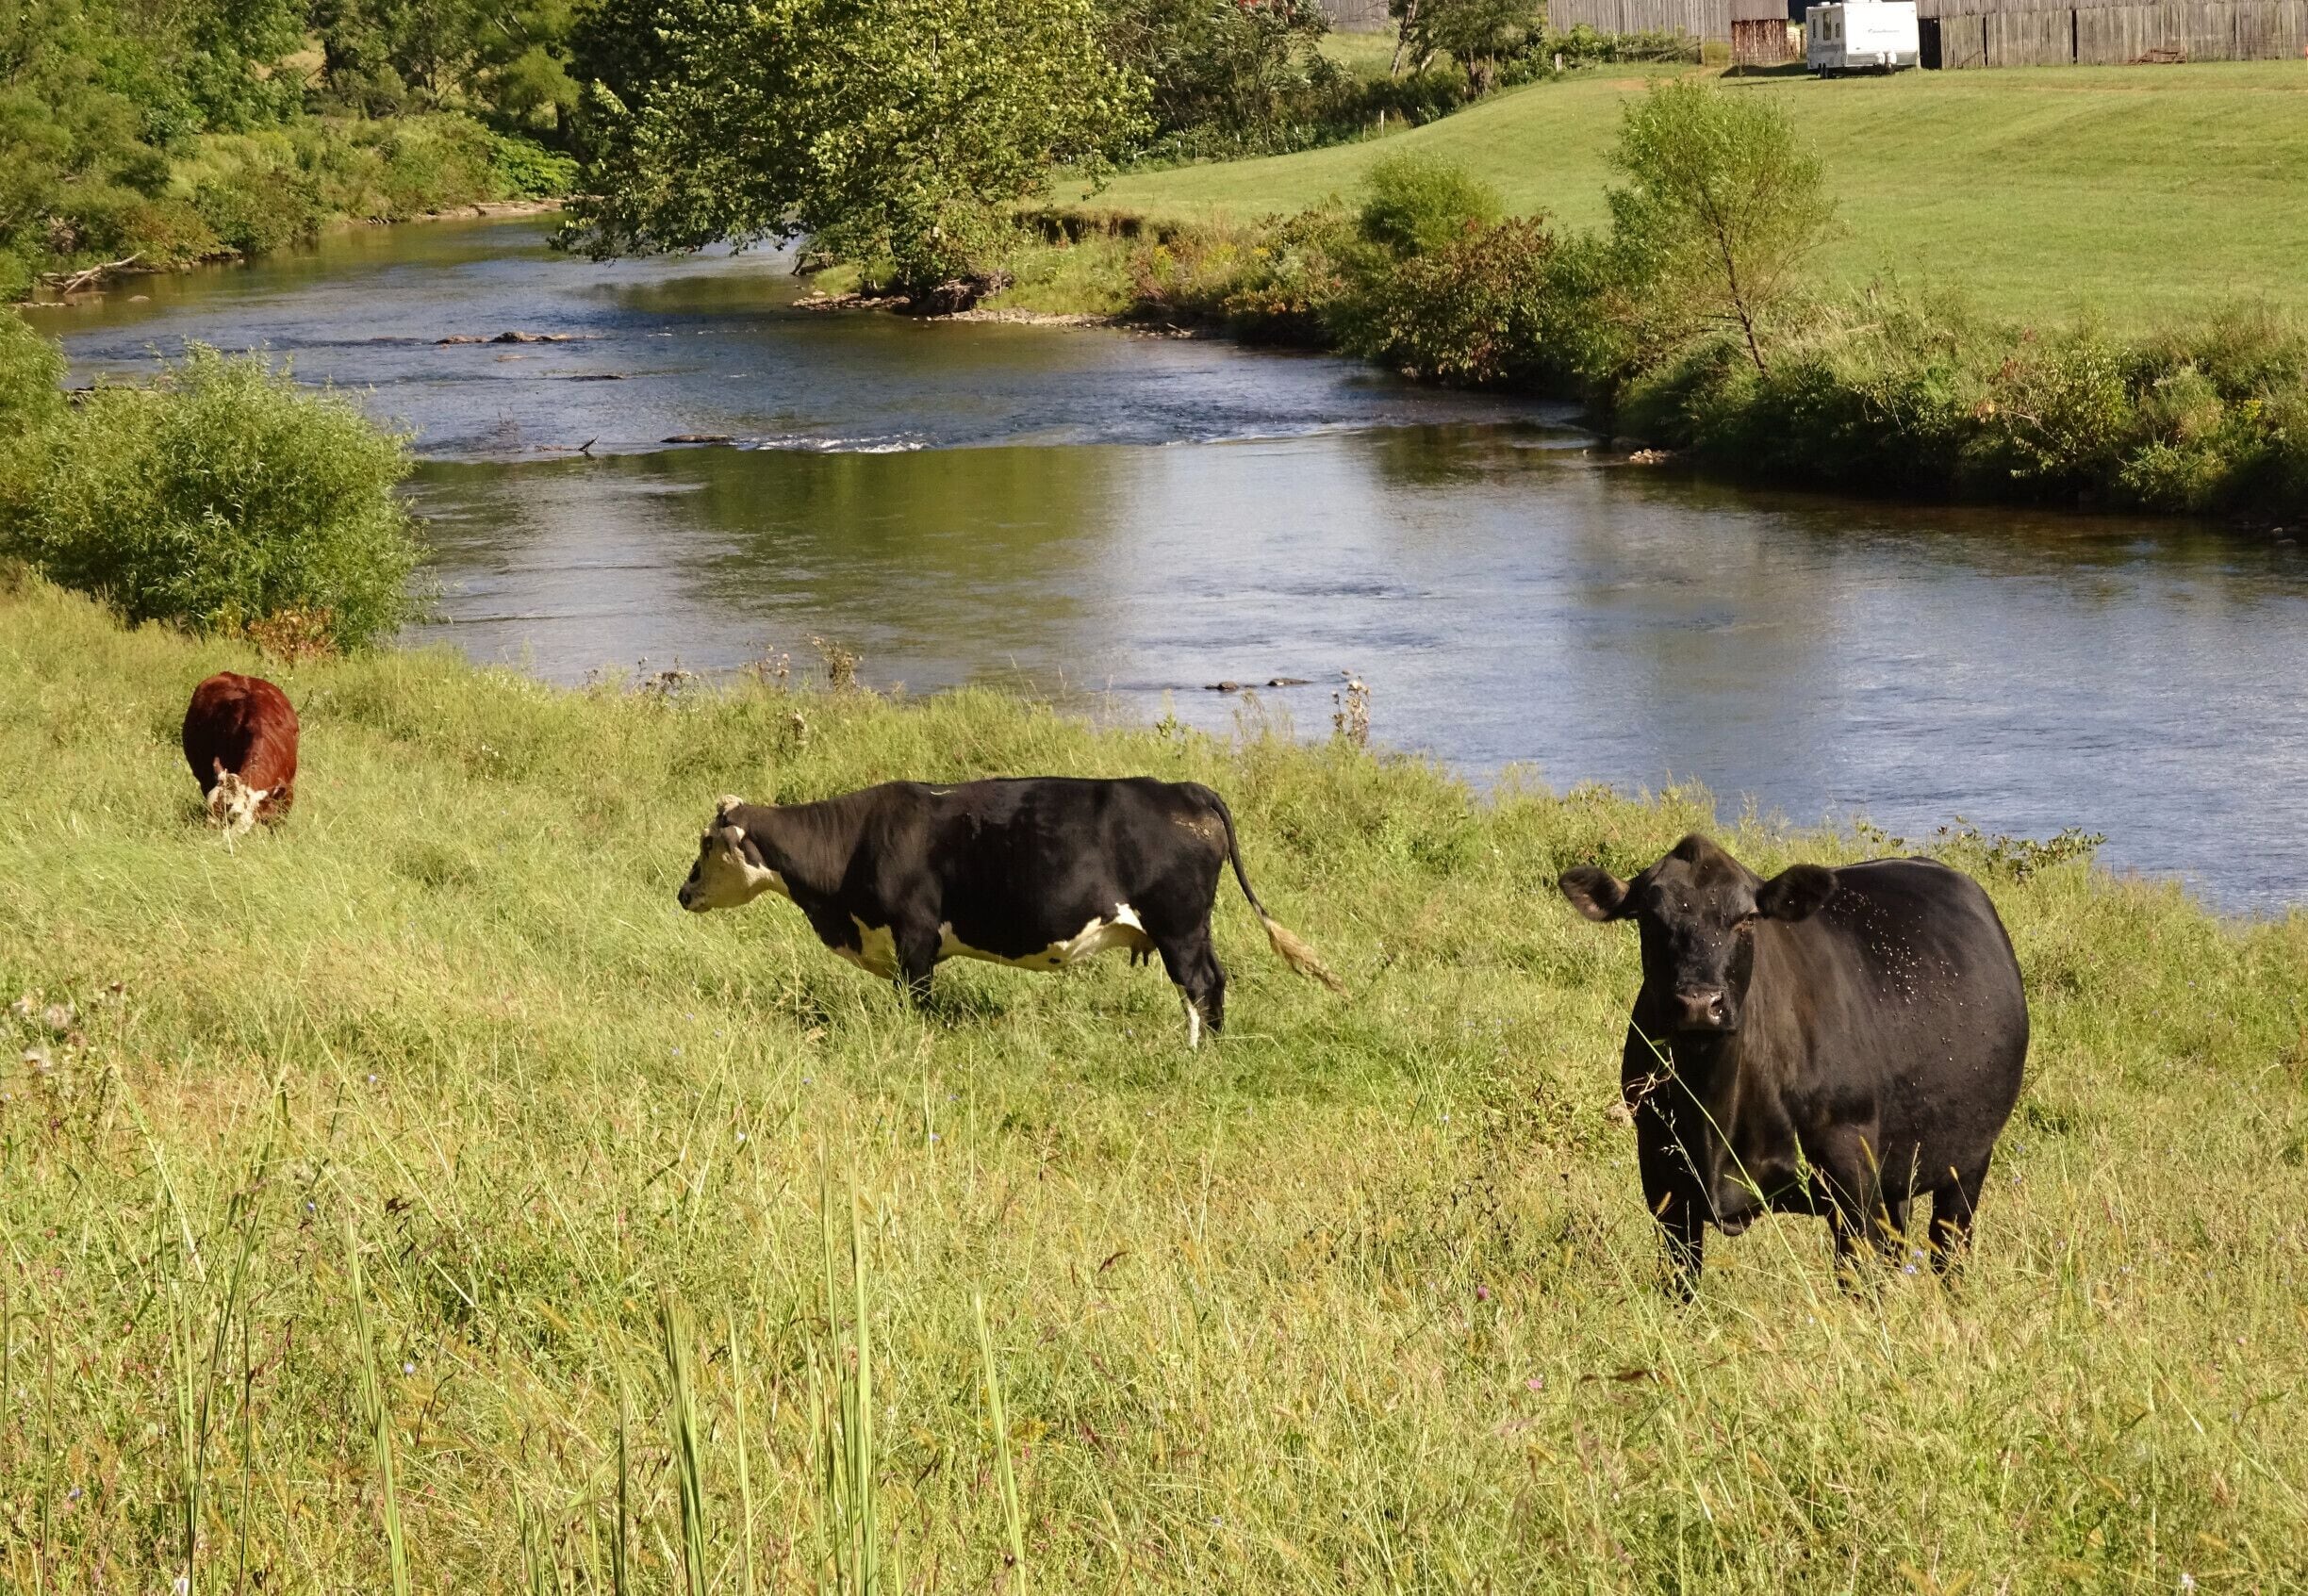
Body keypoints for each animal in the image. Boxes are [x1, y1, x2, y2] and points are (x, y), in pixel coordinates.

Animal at [677, 778, 1345, 1044]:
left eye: (707, 843)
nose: (683, 893)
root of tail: (1183, 790)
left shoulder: (915, 937)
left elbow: (919, 1000)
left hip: (1178, 927)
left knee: (1201, 984)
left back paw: (1195, 1053)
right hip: (1189, 929)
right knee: (1212, 984)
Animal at [1558, 834, 2027, 1293]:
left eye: (1747, 918)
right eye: (1649, 919)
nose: (1699, 1003)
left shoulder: (1851, 1175)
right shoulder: (1663, 1180)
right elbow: (1680, 1285)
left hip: (1969, 1158)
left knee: (1949, 1250)